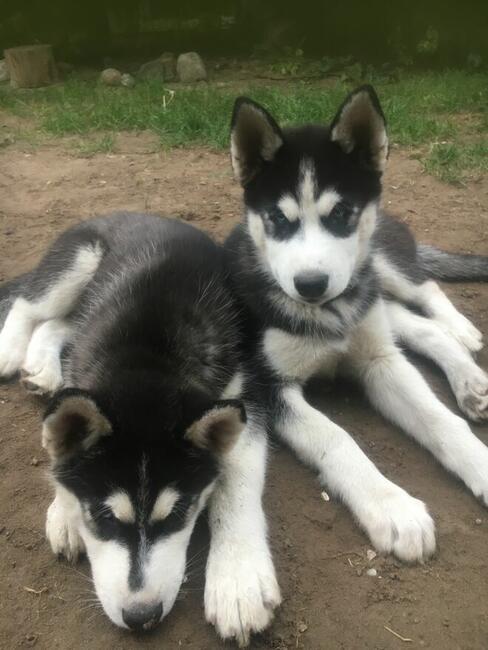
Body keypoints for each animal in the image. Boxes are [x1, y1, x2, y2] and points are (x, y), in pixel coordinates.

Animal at [0, 214, 280, 644]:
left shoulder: (247, 390)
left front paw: (238, 578)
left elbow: (236, 483)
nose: (141, 616)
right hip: (77, 263)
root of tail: (136, 214)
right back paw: (12, 351)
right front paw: (65, 510)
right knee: (30, 306)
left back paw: (41, 367)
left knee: (60, 325)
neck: (149, 354)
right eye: (103, 516)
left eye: (179, 512)